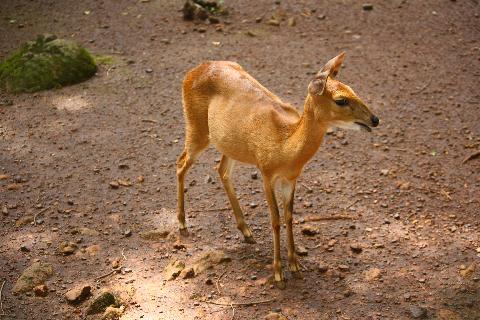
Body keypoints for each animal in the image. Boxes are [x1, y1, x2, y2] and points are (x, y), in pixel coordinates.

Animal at [175, 52, 378, 288]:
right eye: (341, 100)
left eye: (352, 89)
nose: (375, 119)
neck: (285, 147)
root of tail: (192, 72)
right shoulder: (266, 172)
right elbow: (275, 220)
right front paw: (279, 273)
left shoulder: (290, 179)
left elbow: (289, 217)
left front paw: (295, 266)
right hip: (196, 127)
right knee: (181, 163)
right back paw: (182, 223)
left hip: (229, 144)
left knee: (222, 170)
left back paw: (246, 231)